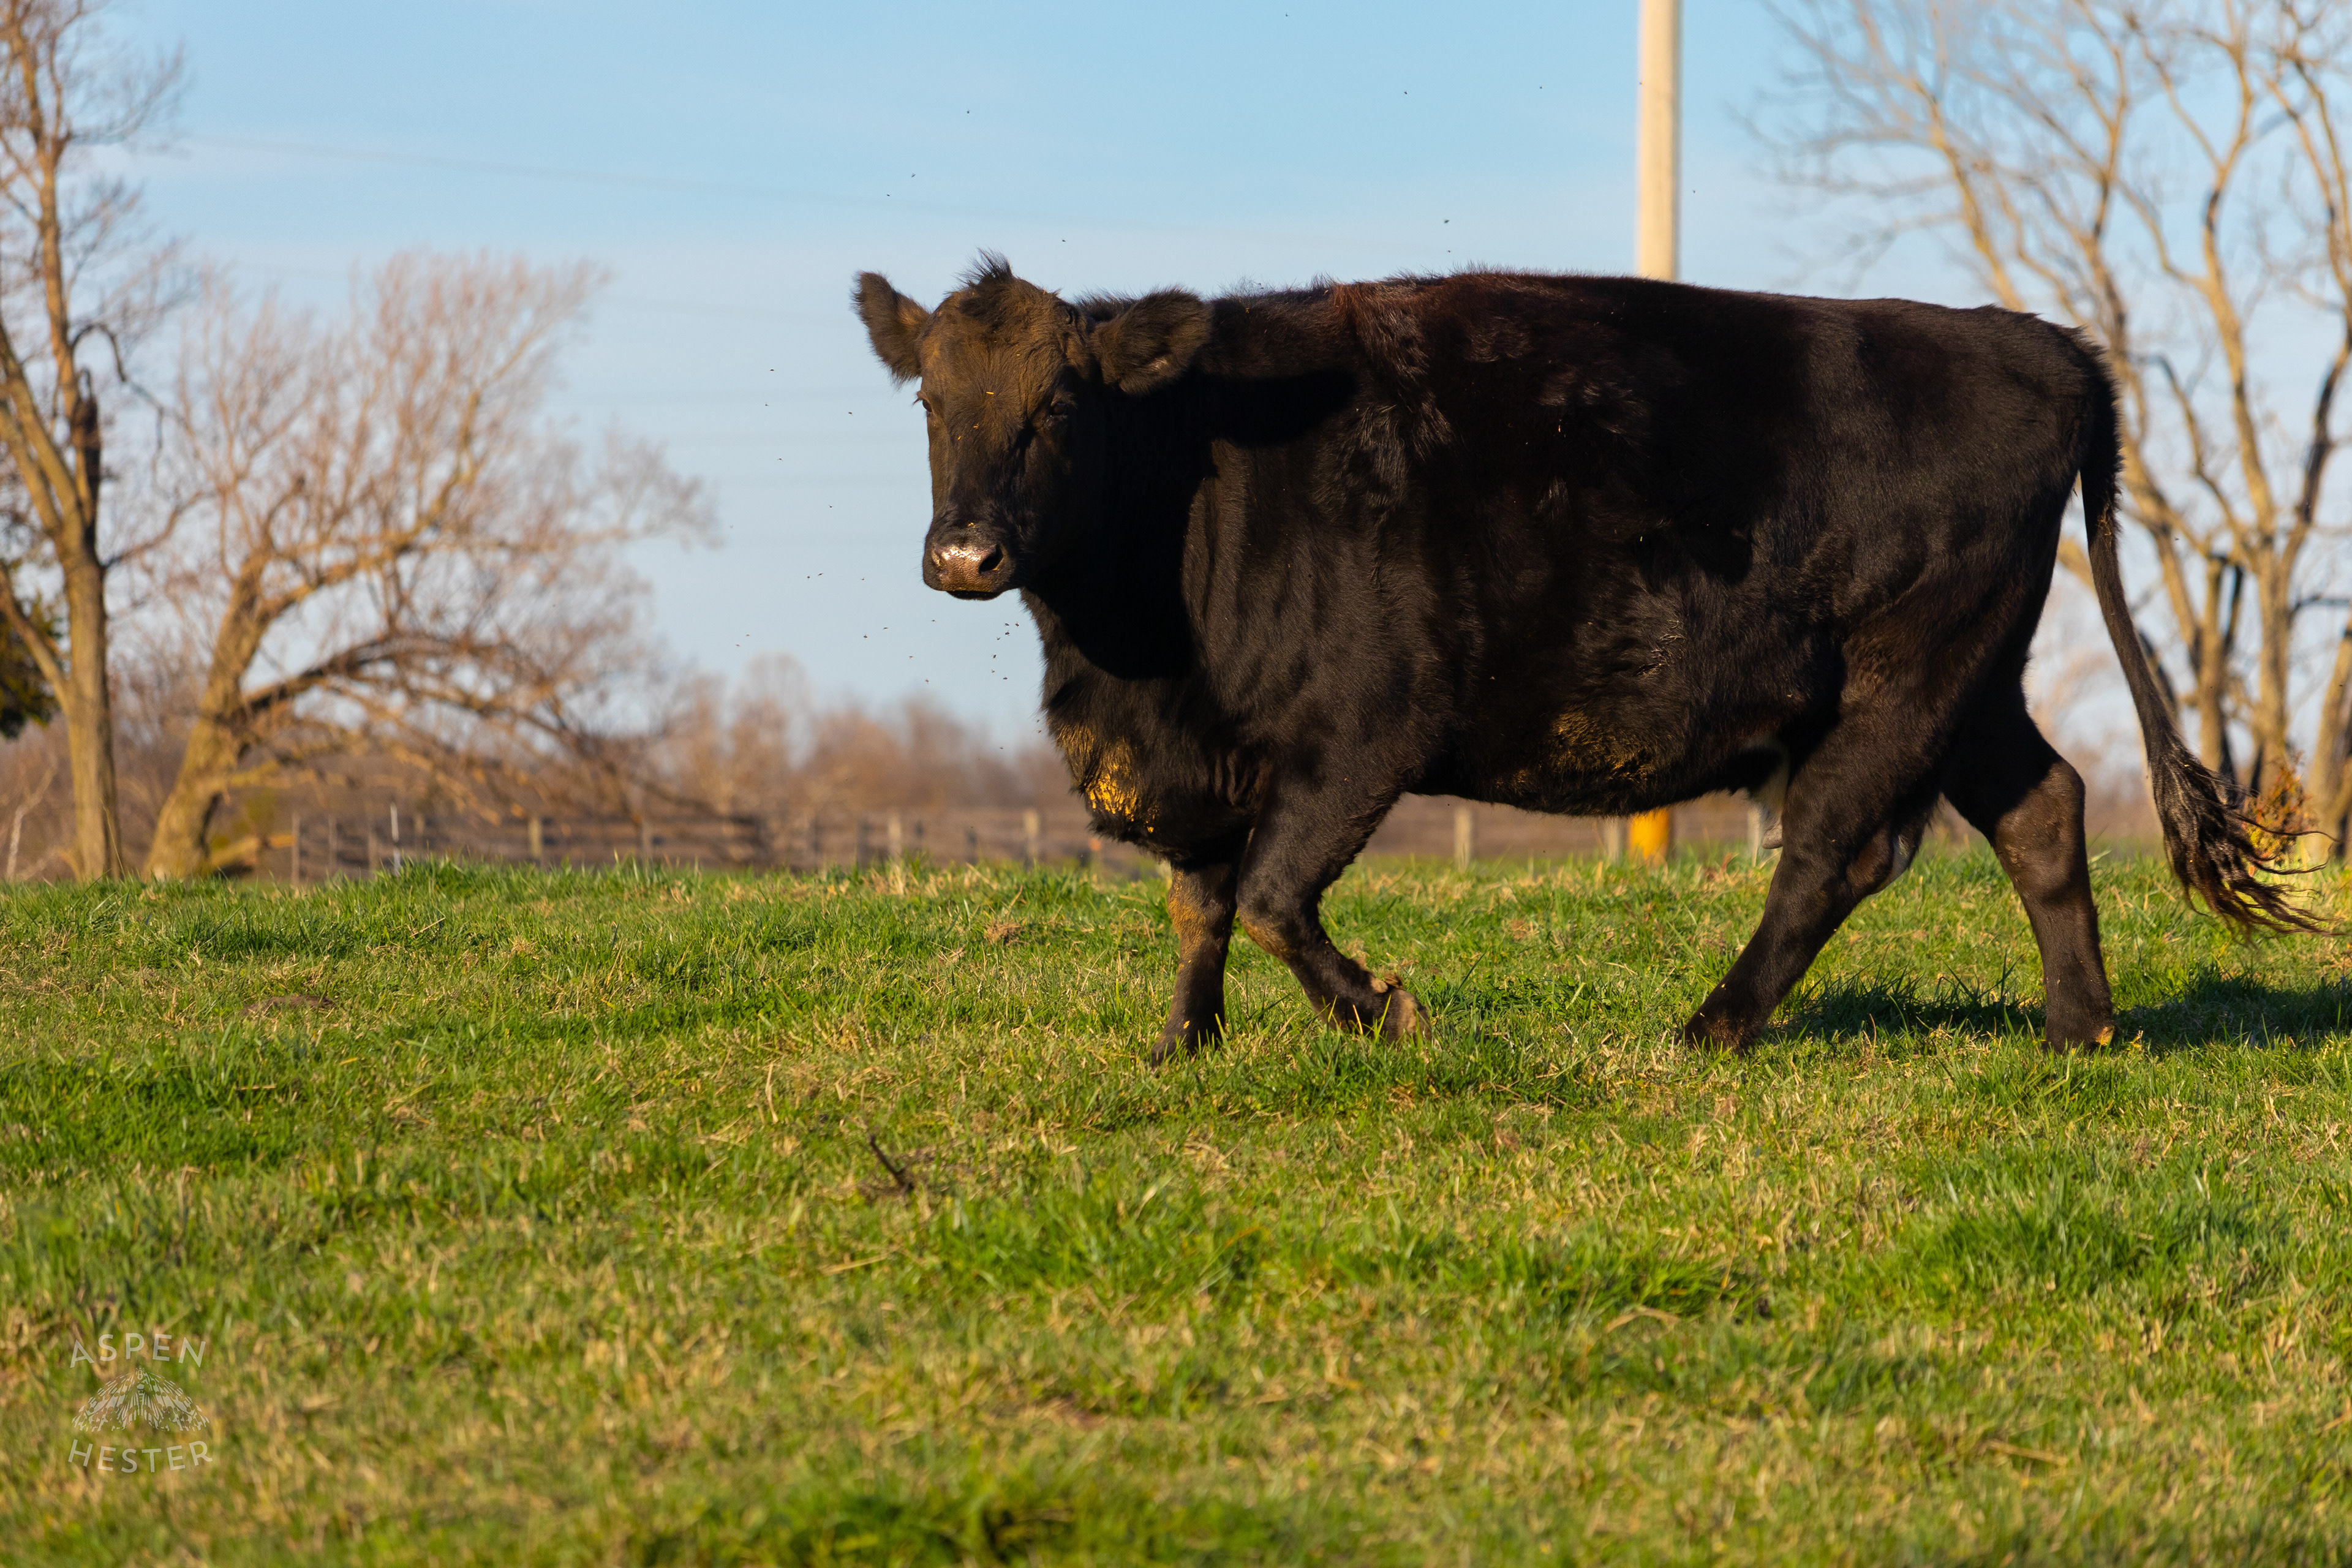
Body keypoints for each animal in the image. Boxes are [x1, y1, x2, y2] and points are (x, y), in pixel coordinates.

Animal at [854, 255, 2310, 1062]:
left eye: (1059, 404)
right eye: (931, 399)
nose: (966, 552)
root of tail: (2035, 342)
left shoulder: (1356, 738)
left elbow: (1267, 896)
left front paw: (1386, 1014)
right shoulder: (1203, 753)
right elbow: (1200, 905)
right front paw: (1181, 1048)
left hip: (1905, 680)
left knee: (1837, 851)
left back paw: (1711, 1027)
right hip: (1977, 684)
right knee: (2043, 810)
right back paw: (2080, 1028)